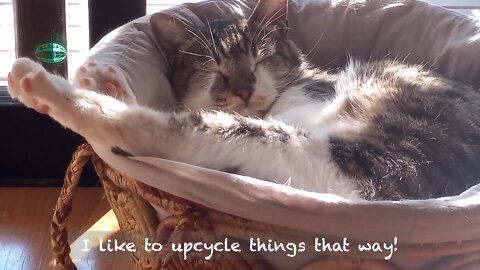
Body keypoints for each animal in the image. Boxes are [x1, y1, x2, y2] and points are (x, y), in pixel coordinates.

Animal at [6, 0, 480, 199]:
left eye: (260, 57)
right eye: (214, 68)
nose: (245, 88)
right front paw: (105, 79)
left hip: (345, 157)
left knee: (157, 129)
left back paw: (40, 85)